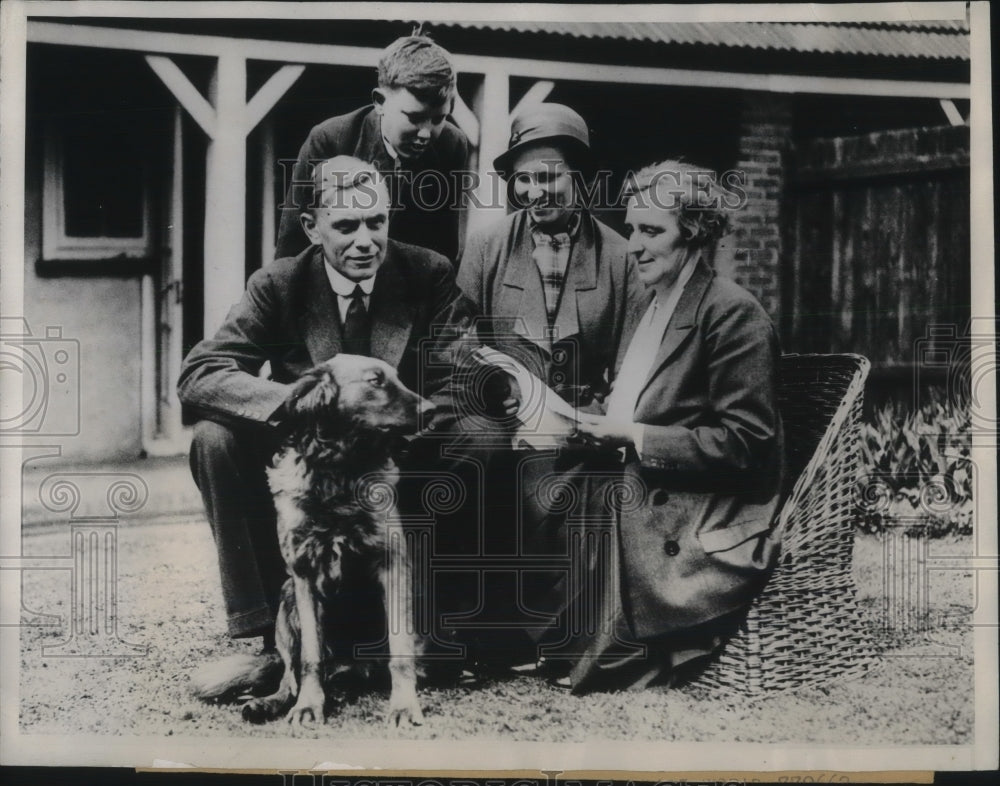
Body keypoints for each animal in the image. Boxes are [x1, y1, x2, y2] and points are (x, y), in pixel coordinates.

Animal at [193, 352, 432, 724]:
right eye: (375, 381)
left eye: (398, 378)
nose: (432, 409)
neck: (339, 472)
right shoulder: (303, 573)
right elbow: (310, 657)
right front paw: (309, 705)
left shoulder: (392, 564)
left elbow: (400, 650)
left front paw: (404, 704)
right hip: (286, 600)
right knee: (288, 675)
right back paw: (269, 702)